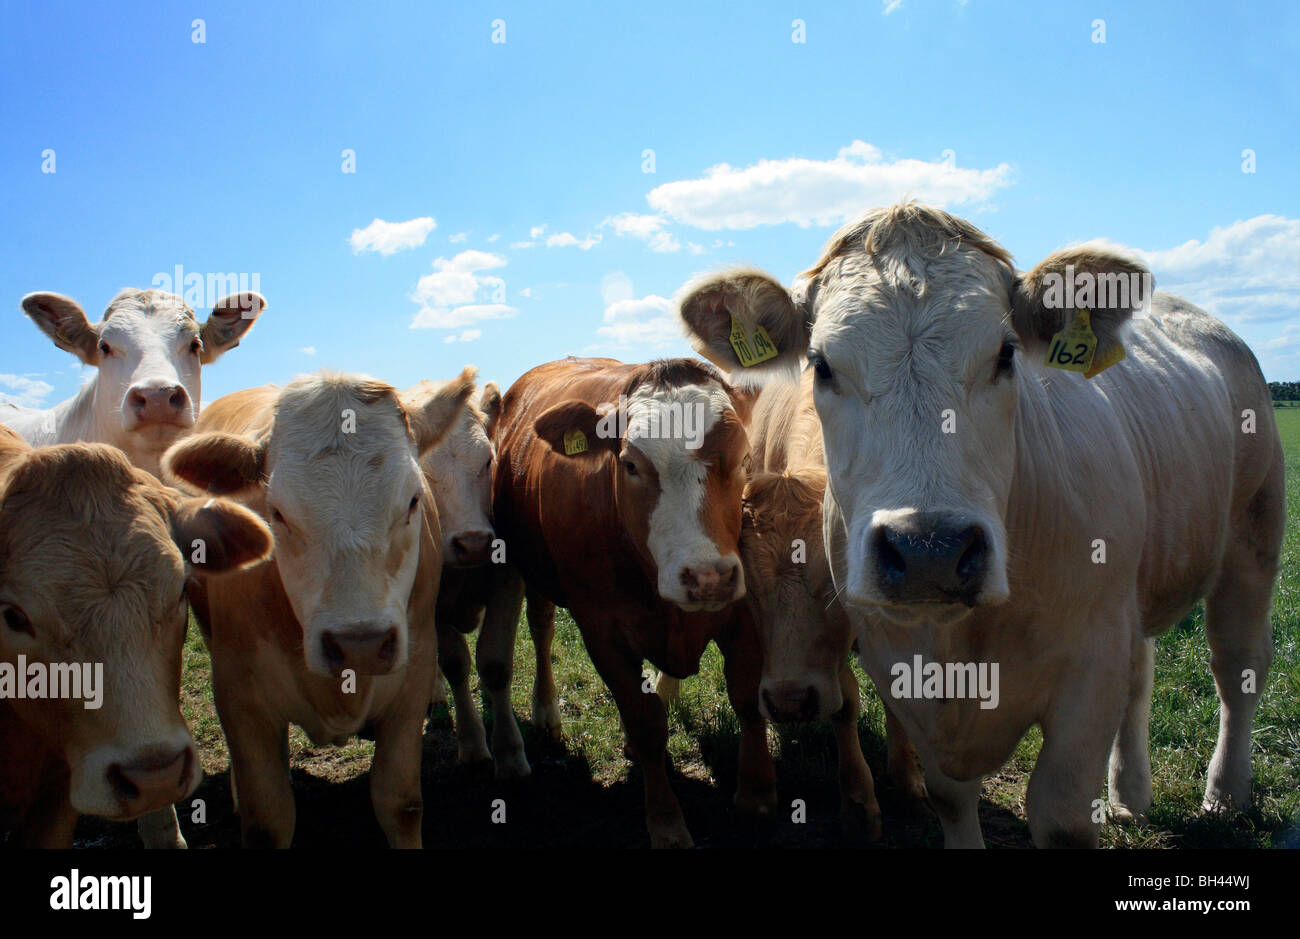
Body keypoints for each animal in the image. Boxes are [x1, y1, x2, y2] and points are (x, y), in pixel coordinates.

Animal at [160, 369, 476, 848]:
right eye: (277, 513)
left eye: (413, 500)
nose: (360, 644)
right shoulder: (239, 695)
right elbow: (268, 819)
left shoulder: (413, 680)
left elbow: (400, 804)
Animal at [420, 381, 531, 778]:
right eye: (421, 471)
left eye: (487, 460)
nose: (474, 542)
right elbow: (454, 664)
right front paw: (472, 744)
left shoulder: (508, 584)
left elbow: (495, 664)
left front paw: (510, 752)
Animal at [490, 357, 776, 848]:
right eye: (630, 465)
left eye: (743, 457)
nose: (707, 577)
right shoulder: (601, 631)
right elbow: (647, 725)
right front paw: (665, 822)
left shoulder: (743, 610)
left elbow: (745, 699)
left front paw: (756, 795)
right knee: (542, 627)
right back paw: (546, 712)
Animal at [676, 203, 1284, 848]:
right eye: (822, 365)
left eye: (1005, 354)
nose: (929, 551)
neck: (965, 642)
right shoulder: (901, 668)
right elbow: (950, 796)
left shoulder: (1091, 663)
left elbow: (1061, 815)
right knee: (1143, 672)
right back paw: (1130, 797)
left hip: (1254, 534)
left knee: (1238, 666)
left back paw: (1225, 795)